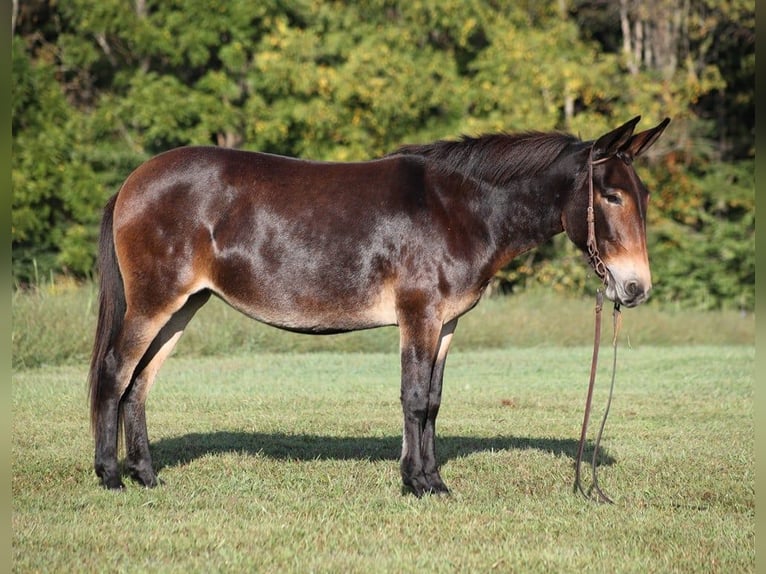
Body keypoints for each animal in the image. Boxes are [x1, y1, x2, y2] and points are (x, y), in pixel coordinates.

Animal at [88, 116, 672, 496]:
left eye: (643, 196)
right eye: (611, 196)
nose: (636, 289)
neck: (460, 209)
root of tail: (132, 181)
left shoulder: (446, 322)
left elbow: (433, 401)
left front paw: (433, 480)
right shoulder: (419, 314)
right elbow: (413, 399)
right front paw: (415, 484)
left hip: (183, 306)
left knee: (140, 382)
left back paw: (146, 476)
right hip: (154, 302)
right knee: (115, 373)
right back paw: (111, 477)